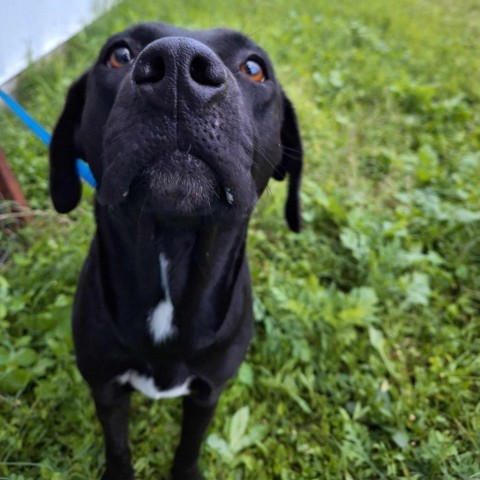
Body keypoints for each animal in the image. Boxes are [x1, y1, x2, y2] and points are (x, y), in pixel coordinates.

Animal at [49, 22, 304, 480]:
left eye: (254, 67)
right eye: (118, 54)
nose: (179, 69)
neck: (172, 248)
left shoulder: (207, 392)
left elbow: (189, 446)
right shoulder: (106, 387)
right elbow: (118, 447)